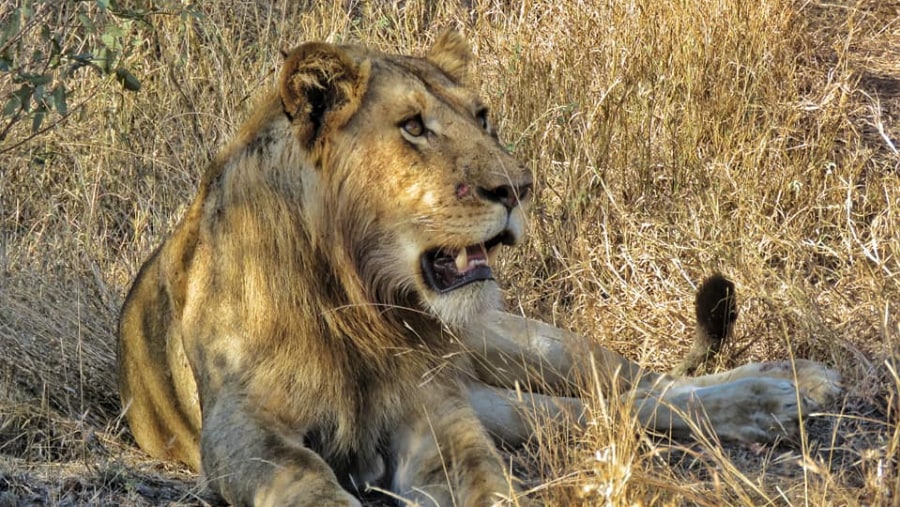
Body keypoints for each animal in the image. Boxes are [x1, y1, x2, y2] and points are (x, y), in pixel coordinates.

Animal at [116, 32, 840, 507]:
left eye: (482, 116)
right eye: (413, 126)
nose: (518, 188)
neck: (361, 303)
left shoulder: (438, 425)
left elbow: (488, 482)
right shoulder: (242, 432)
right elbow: (307, 483)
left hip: (514, 343)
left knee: (639, 385)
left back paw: (788, 390)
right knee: (593, 411)